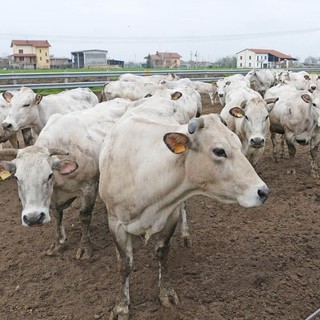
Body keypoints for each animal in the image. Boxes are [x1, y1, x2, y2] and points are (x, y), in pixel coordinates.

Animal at [0, 99, 132, 260]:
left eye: (49, 175)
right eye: (17, 178)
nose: (33, 218)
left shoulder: (89, 187)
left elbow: (84, 216)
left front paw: (85, 247)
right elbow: (58, 216)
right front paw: (59, 243)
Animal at [99, 104, 268, 318]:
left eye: (238, 143)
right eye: (219, 151)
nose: (263, 192)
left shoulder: (170, 215)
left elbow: (162, 253)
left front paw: (166, 293)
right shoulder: (115, 222)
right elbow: (125, 264)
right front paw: (121, 306)